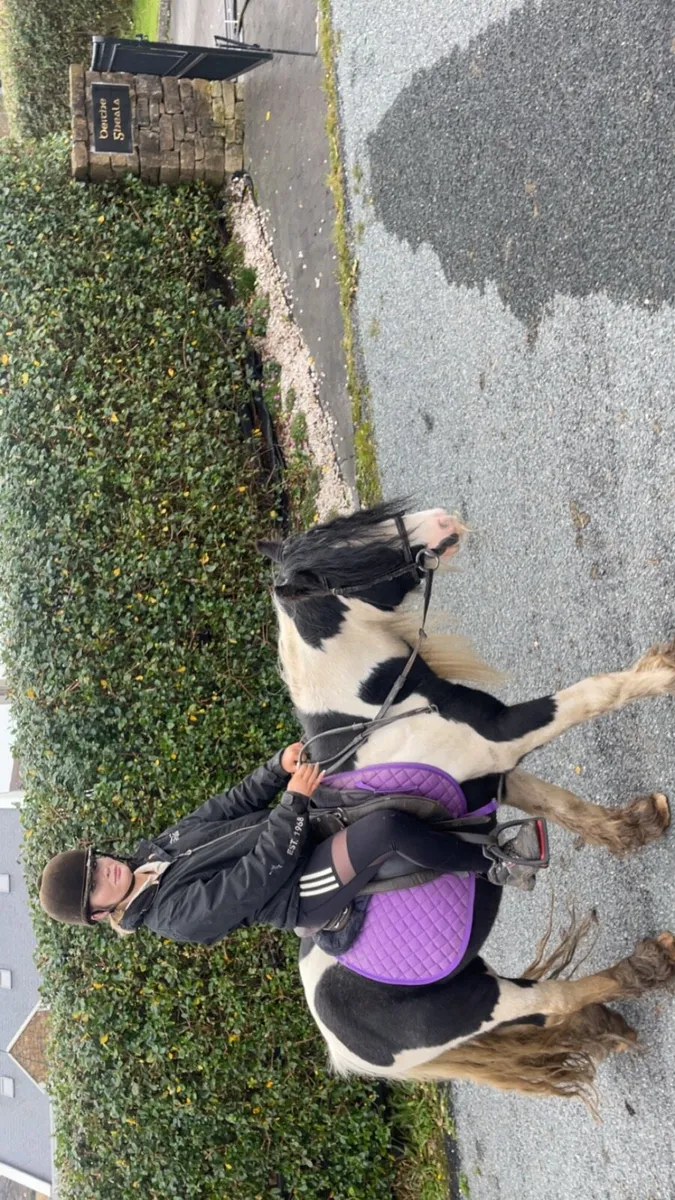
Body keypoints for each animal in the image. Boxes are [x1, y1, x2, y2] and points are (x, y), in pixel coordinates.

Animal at [258, 501, 675, 1103]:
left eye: (352, 528)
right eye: (351, 558)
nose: (441, 519)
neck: (379, 713)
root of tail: (345, 1053)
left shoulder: (494, 777)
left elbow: (562, 805)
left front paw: (636, 827)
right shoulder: (506, 738)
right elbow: (594, 694)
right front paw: (665, 673)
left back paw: (607, 1025)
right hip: (485, 1003)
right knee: (551, 1002)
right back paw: (650, 964)